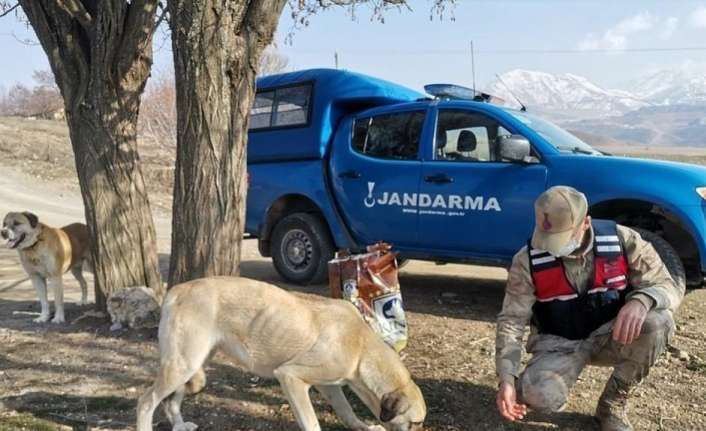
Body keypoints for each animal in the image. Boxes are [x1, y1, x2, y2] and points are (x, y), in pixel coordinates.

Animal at [135, 276, 426, 431]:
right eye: (414, 424)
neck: (362, 348)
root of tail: (176, 289)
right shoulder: (290, 377)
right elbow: (312, 424)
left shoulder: (329, 386)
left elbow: (346, 411)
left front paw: (362, 427)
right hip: (182, 365)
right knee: (146, 401)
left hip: (191, 365)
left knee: (171, 403)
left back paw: (180, 425)